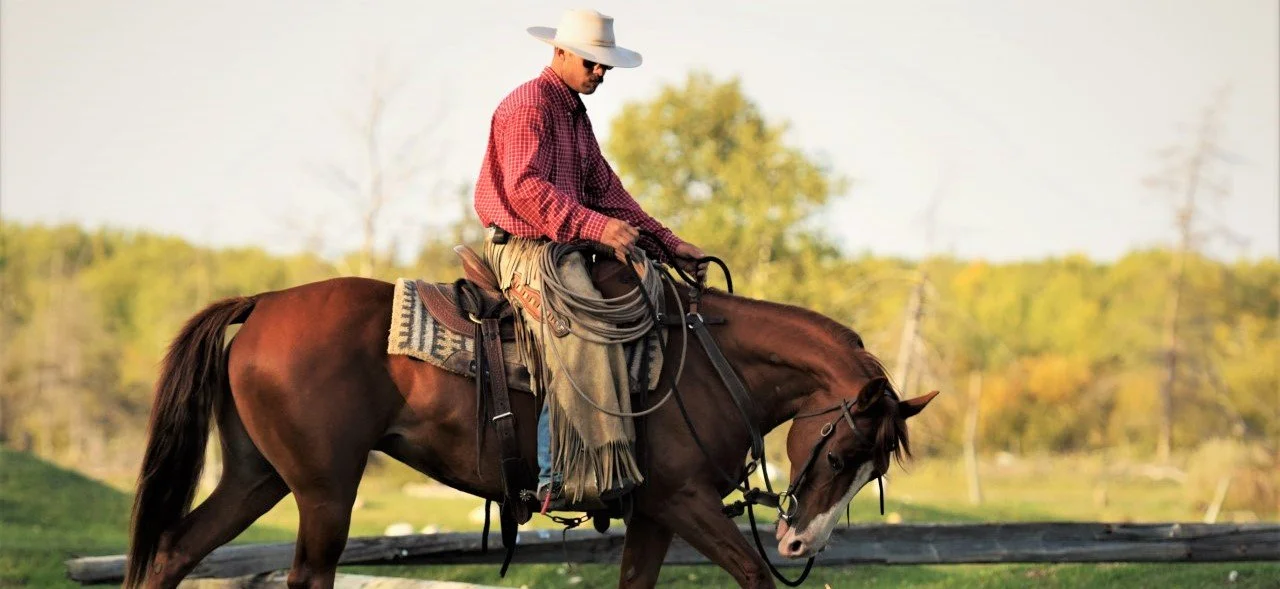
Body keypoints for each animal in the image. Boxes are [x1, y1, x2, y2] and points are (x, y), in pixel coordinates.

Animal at [123, 250, 939, 589]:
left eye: (871, 468)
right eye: (841, 454)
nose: (801, 541)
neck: (709, 364)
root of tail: (261, 303)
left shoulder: (654, 511)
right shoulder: (683, 499)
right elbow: (752, 575)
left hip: (257, 475)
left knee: (170, 553)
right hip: (325, 491)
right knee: (304, 575)